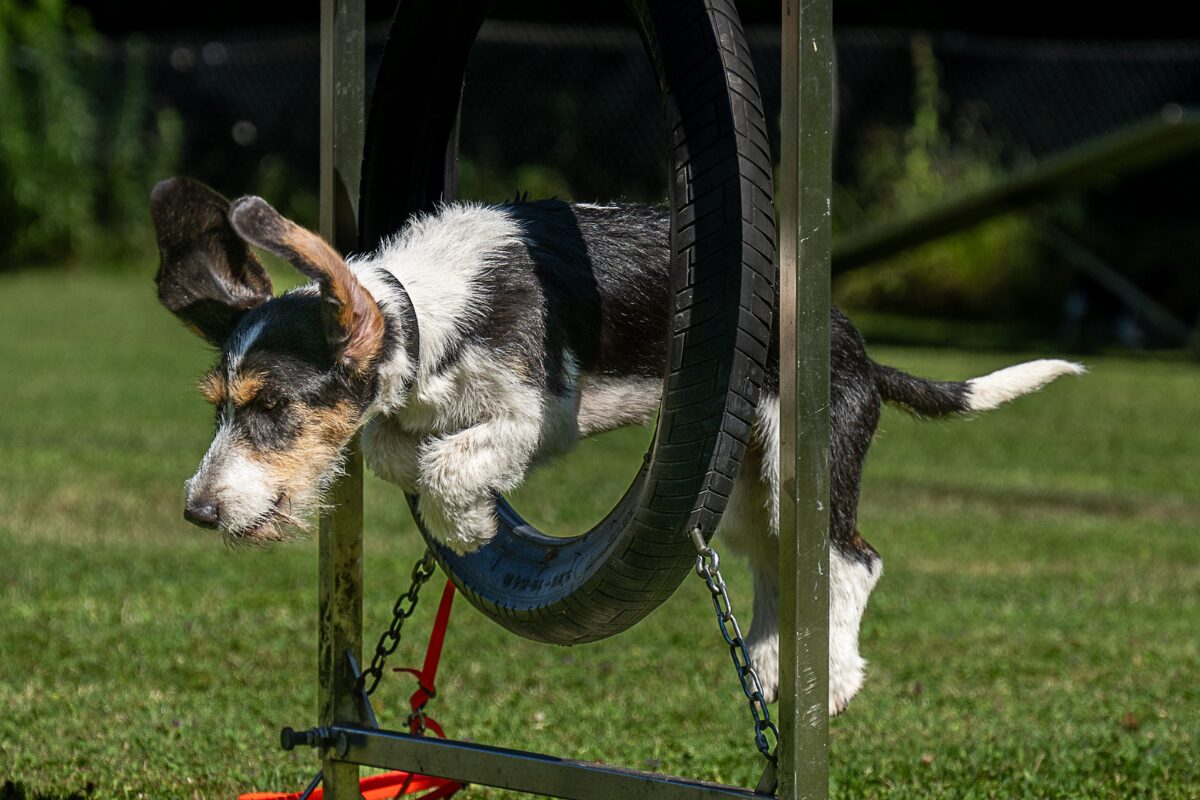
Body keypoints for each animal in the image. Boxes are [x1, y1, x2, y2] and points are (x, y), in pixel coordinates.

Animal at [150, 176, 1089, 714]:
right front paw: (456, 506)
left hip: (804, 462)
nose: (197, 512)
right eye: (220, 408)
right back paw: (774, 668)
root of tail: (855, 344)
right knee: (780, 567)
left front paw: (471, 528)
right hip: (747, 488)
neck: (430, 306)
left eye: (272, 406)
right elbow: (393, 446)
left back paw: (836, 677)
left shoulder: (541, 412)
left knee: (853, 559)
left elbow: (447, 462)